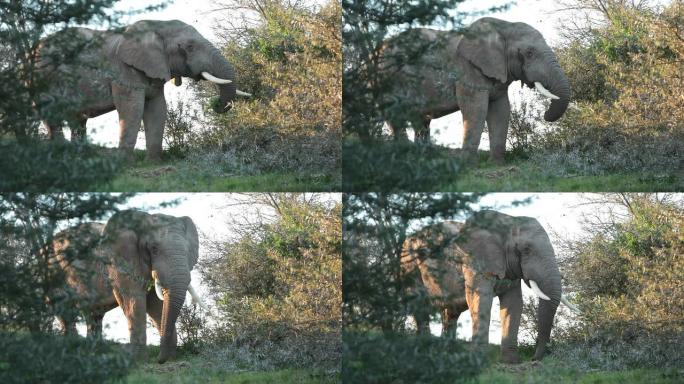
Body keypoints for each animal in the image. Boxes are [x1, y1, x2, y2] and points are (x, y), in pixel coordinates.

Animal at [35, 19, 254, 160]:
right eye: (189, 47)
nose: (215, 105)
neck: (156, 26)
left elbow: (157, 109)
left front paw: (154, 163)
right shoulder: (123, 70)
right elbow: (132, 109)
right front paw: (123, 164)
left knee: (77, 119)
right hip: (43, 79)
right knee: (52, 115)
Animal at [49, 210, 204, 364]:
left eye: (188, 250)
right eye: (154, 249)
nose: (159, 360)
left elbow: (155, 304)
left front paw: (170, 358)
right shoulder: (119, 262)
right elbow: (133, 299)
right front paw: (138, 360)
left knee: (92, 316)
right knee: (63, 312)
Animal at [382, 17, 568, 164]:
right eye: (529, 53)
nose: (545, 114)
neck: (504, 26)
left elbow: (501, 110)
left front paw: (496, 164)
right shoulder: (467, 70)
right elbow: (476, 109)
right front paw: (467, 165)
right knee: (395, 116)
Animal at [400, 210, 576, 364]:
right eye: (526, 250)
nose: (534, 359)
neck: (509, 221)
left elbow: (514, 303)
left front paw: (511, 362)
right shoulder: (475, 262)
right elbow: (481, 300)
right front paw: (479, 361)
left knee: (450, 314)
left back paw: (446, 354)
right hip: (409, 267)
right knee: (420, 307)